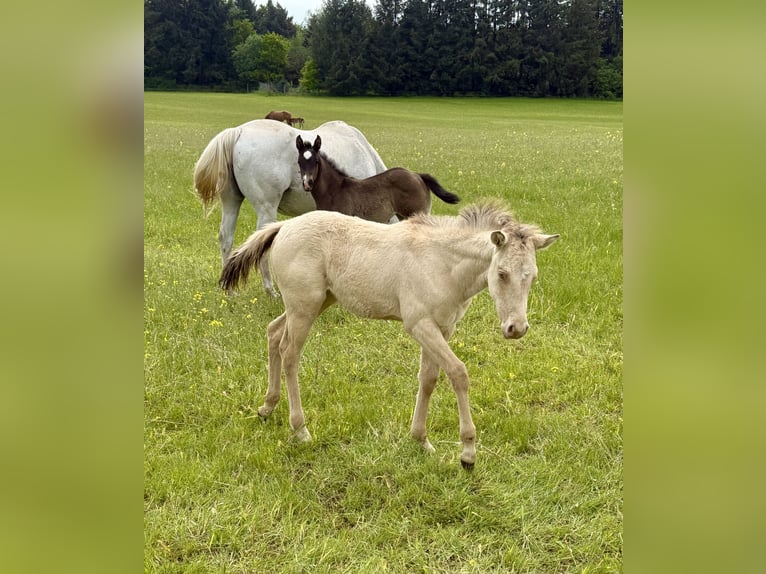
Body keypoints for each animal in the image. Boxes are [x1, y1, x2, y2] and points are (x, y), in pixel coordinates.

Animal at [194, 119, 387, 297]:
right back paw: (270, 290)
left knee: (226, 237)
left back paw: (229, 290)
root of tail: (239, 131)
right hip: (266, 208)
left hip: (231, 202)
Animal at [219, 201, 559, 468]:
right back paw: (300, 429)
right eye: (501, 273)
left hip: (315, 302)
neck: (443, 264)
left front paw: (421, 440)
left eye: (532, 276)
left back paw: (267, 407)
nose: (516, 328)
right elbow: (458, 373)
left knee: (274, 333)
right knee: (290, 353)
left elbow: (429, 379)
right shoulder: (420, 324)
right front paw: (467, 453)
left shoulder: (442, 327)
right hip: (303, 307)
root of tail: (284, 226)